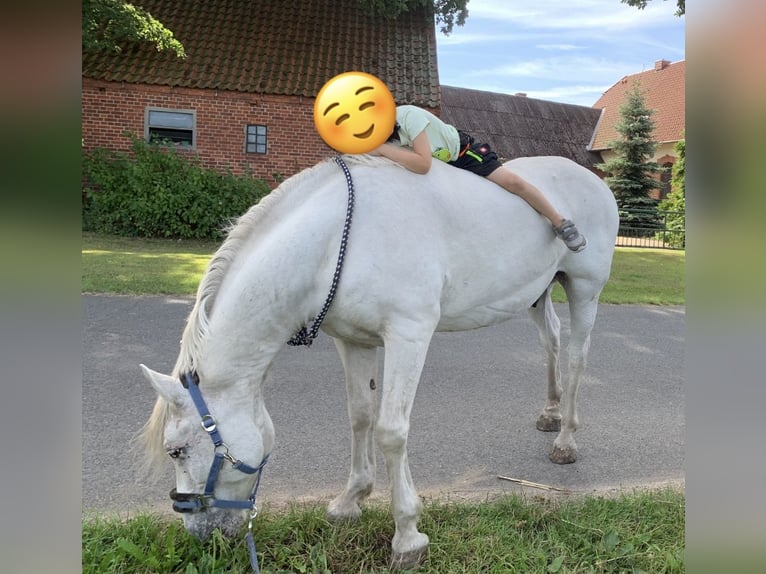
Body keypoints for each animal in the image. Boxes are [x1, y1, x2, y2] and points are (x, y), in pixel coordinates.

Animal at [139, 154, 618, 569]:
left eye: (176, 450)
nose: (200, 534)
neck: (335, 241)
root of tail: (591, 179)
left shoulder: (409, 334)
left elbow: (391, 431)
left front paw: (407, 536)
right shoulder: (353, 342)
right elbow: (361, 417)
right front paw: (350, 500)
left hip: (584, 288)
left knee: (577, 356)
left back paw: (566, 439)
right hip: (540, 293)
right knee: (551, 340)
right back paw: (550, 413)